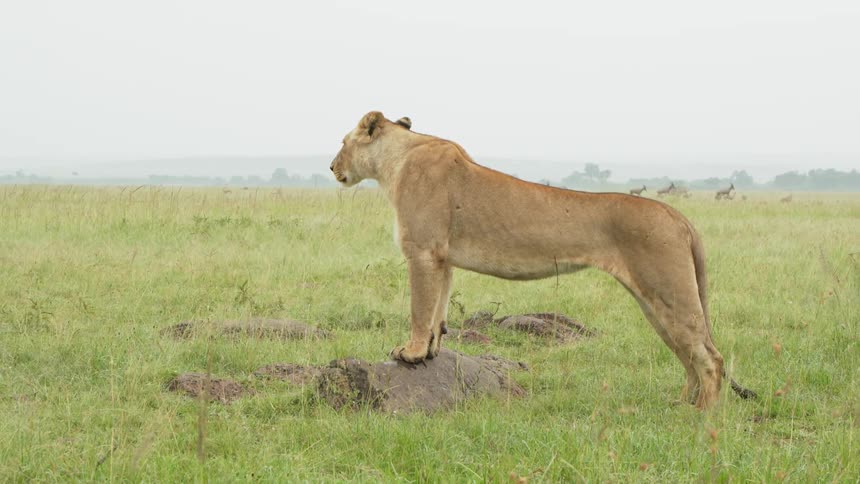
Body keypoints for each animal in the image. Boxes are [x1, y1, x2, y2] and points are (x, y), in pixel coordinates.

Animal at [330, 111, 756, 409]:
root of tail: (679, 216)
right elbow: (438, 311)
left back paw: (702, 415)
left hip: (669, 292)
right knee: (688, 355)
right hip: (655, 302)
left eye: (343, 142)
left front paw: (411, 352)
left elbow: (420, 309)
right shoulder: (442, 258)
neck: (395, 160)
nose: (332, 167)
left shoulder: (421, 251)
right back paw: (680, 404)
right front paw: (430, 351)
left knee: (710, 358)